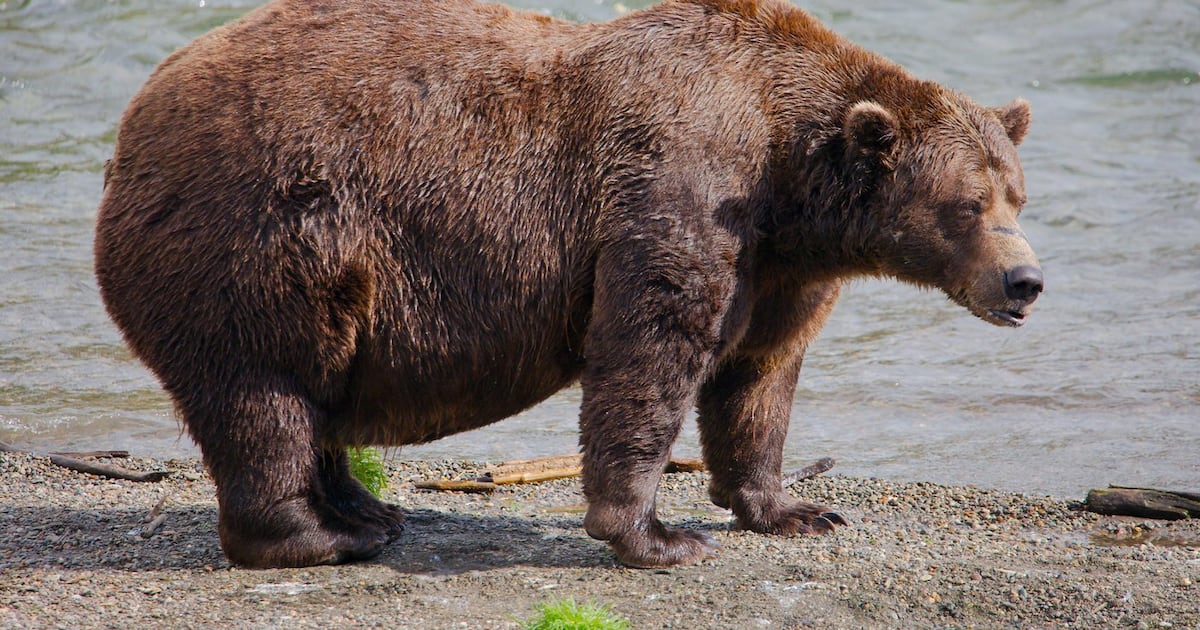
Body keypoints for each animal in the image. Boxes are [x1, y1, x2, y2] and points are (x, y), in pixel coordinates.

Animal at [94, 0, 1043, 569]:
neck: (787, 176)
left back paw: (368, 512)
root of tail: (131, 125)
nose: (1025, 280)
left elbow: (759, 376)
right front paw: (658, 534)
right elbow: (650, 350)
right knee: (266, 391)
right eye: (966, 204)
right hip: (261, 237)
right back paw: (318, 536)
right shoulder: (679, 187)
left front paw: (789, 507)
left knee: (313, 396)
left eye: (1017, 193)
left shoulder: (781, 267)